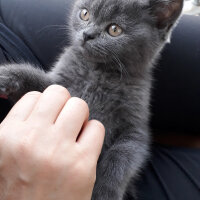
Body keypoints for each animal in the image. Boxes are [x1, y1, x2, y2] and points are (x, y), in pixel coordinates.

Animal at [0, 0, 183, 199]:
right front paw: (6, 75)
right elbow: (33, 78)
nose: (87, 34)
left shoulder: (136, 127)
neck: (97, 72)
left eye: (114, 29)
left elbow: (123, 154)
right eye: (85, 14)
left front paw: (105, 191)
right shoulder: (59, 85)